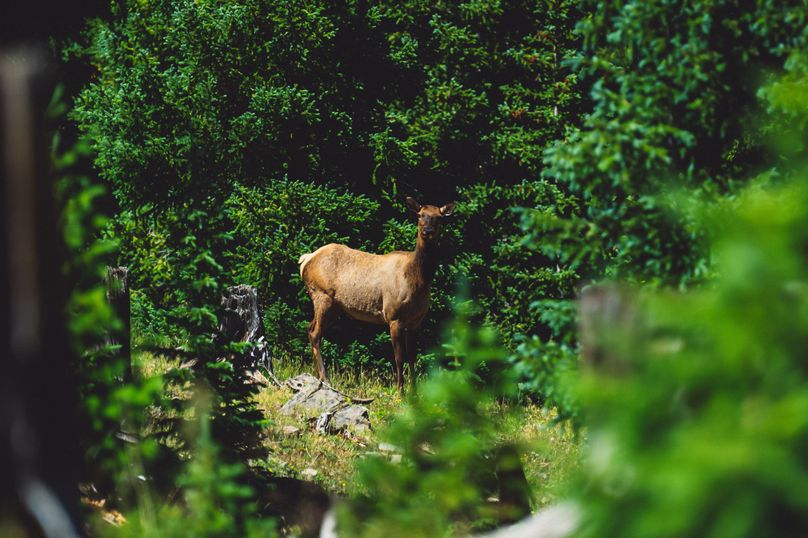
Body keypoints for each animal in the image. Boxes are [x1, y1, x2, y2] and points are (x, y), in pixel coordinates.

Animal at [300, 197, 458, 390]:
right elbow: (399, 358)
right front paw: (400, 391)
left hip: (336, 307)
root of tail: (306, 259)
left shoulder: (416, 320)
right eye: (420, 215)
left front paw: (414, 391)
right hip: (321, 295)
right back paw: (325, 379)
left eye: (439, 217)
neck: (417, 281)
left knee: (311, 328)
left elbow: (412, 357)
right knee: (315, 332)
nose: (428, 231)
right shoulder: (393, 316)